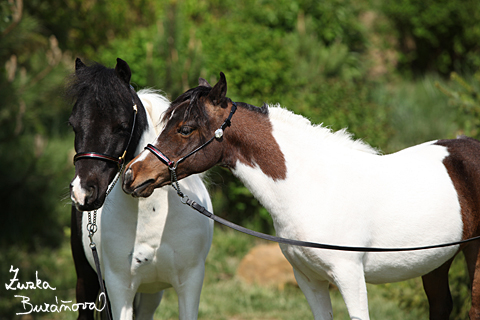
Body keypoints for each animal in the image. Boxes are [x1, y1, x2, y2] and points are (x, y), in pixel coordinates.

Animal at [122, 73, 480, 320]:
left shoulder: (350, 276)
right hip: (436, 262)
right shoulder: (309, 280)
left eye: (185, 129)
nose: (131, 175)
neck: (313, 188)